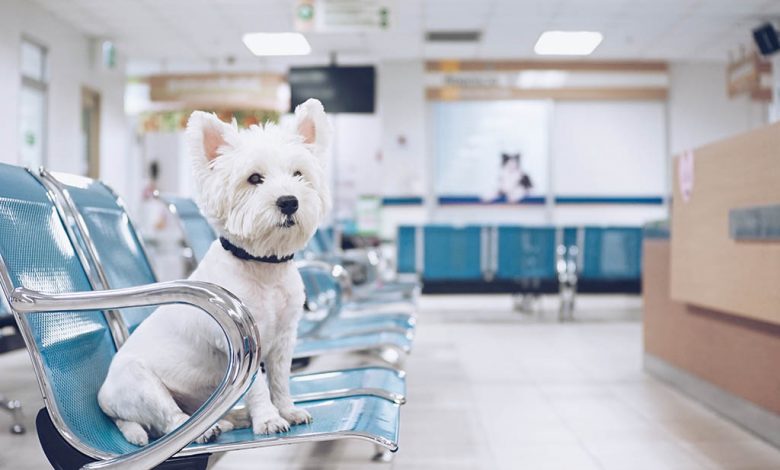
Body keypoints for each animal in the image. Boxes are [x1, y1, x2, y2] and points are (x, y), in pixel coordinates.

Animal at [96, 98, 330, 444]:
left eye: (298, 174)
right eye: (254, 178)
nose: (289, 201)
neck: (263, 267)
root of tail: (104, 401)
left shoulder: (285, 338)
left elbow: (279, 380)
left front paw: (288, 411)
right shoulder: (246, 344)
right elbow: (258, 388)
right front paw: (269, 420)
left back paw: (233, 418)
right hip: (140, 381)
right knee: (170, 422)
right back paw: (207, 428)